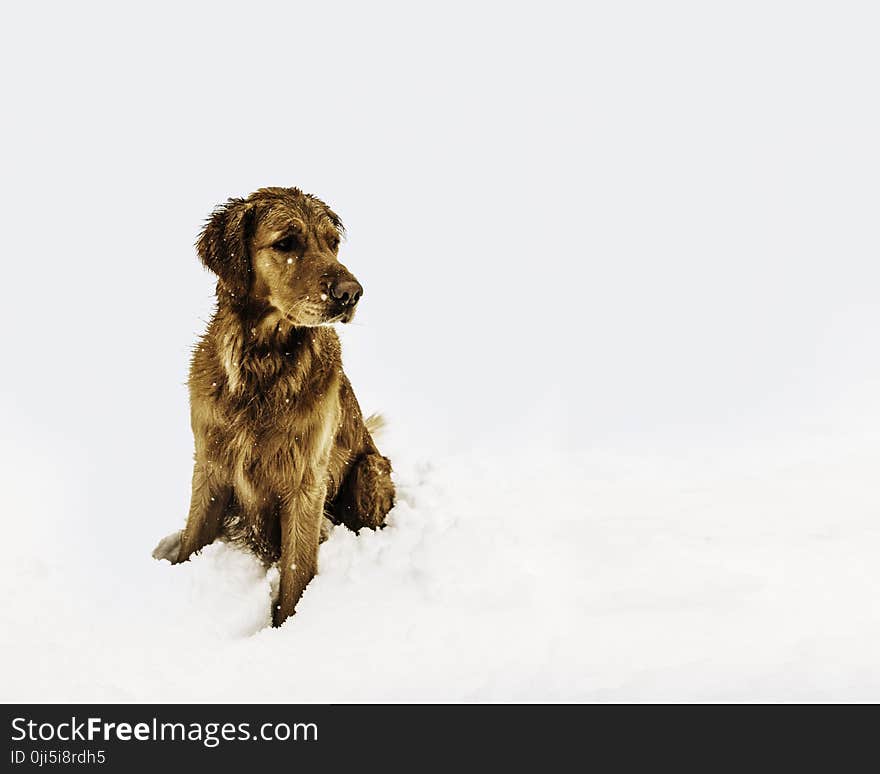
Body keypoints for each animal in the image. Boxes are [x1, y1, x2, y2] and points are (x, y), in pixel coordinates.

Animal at [155, 189, 396, 632]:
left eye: (332, 243)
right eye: (286, 243)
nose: (351, 293)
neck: (262, 366)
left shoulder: (307, 480)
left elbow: (297, 570)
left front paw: (284, 629)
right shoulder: (210, 464)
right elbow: (193, 537)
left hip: (371, 470)